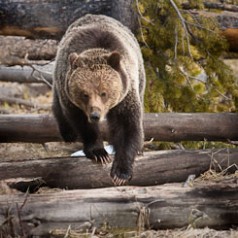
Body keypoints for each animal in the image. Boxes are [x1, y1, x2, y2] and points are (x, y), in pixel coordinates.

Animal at [52, 13, 145, 186]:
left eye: (104, 93)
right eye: (84, 94)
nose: (95, 115)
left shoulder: (125, 96)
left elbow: (128, 125)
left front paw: (121, 172)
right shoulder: (72, 99)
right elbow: (82, 124)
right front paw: (99, 153)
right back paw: (68, 133)